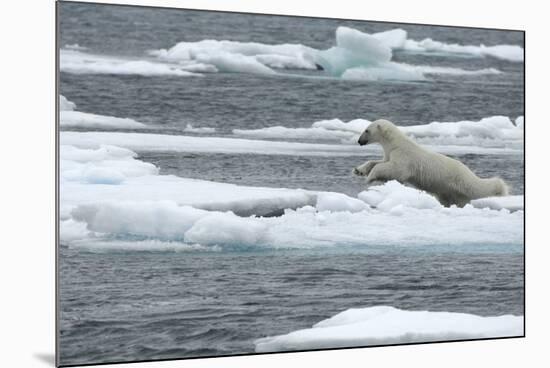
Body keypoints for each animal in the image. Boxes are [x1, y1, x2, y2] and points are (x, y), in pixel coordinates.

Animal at [356, 120, 512, 207]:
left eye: (366, 130)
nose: (359, 141)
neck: (395, 143)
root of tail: (470, 173)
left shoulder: (404, 157)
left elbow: (394, 169)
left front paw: (369, 177)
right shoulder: (390, 153)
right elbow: (379, 162)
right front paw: (359, 170)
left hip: (458, 183)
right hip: (447, 190)